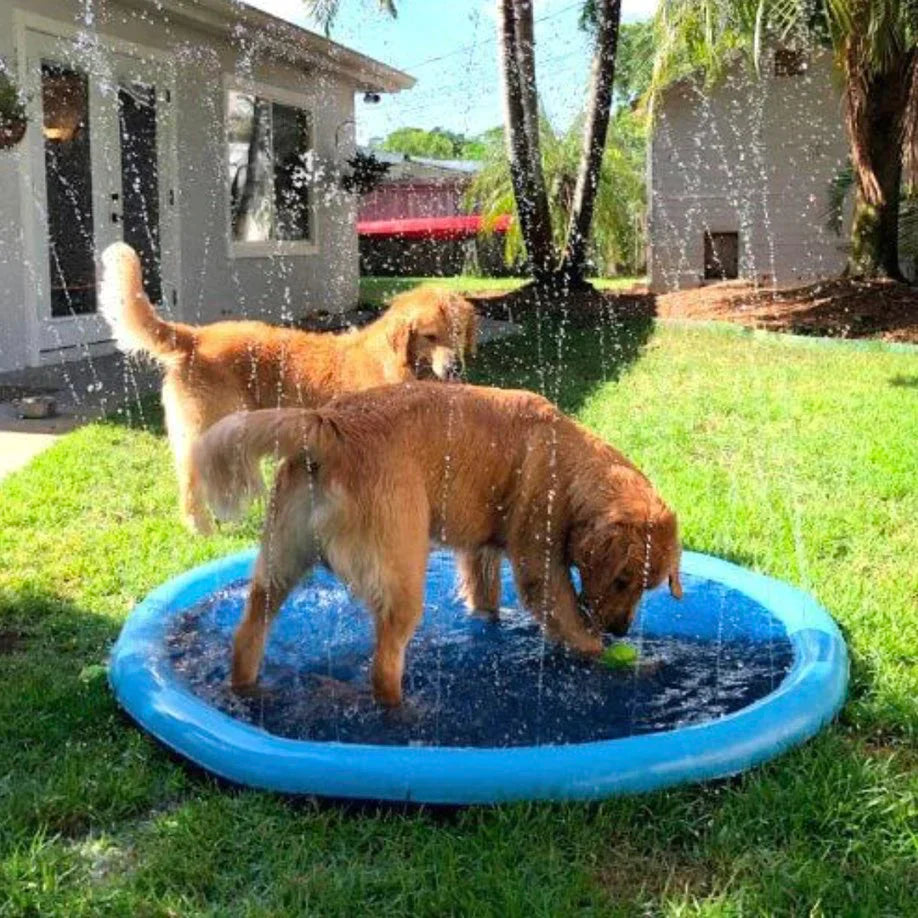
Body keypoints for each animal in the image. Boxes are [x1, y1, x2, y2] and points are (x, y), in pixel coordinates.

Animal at [99, 241, 478, 536]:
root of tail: (196, 336)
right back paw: (203, 530)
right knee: (192, 486)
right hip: (207, 430)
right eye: (430, 336)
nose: (455, 367)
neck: (399, 362)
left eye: (458, 332)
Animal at [192, 384, 684, 708]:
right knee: (383, 667)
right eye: (622, 579)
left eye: (648, 586)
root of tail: (328, 425)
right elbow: (572, 625)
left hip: (280, 560)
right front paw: (628, 661)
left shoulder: (481, 552)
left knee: (247, 634)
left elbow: (485, 599)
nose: (621, 630)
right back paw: (405, 714)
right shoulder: (538, 562)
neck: (568, 461)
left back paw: (248, 690)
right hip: (403, 573)